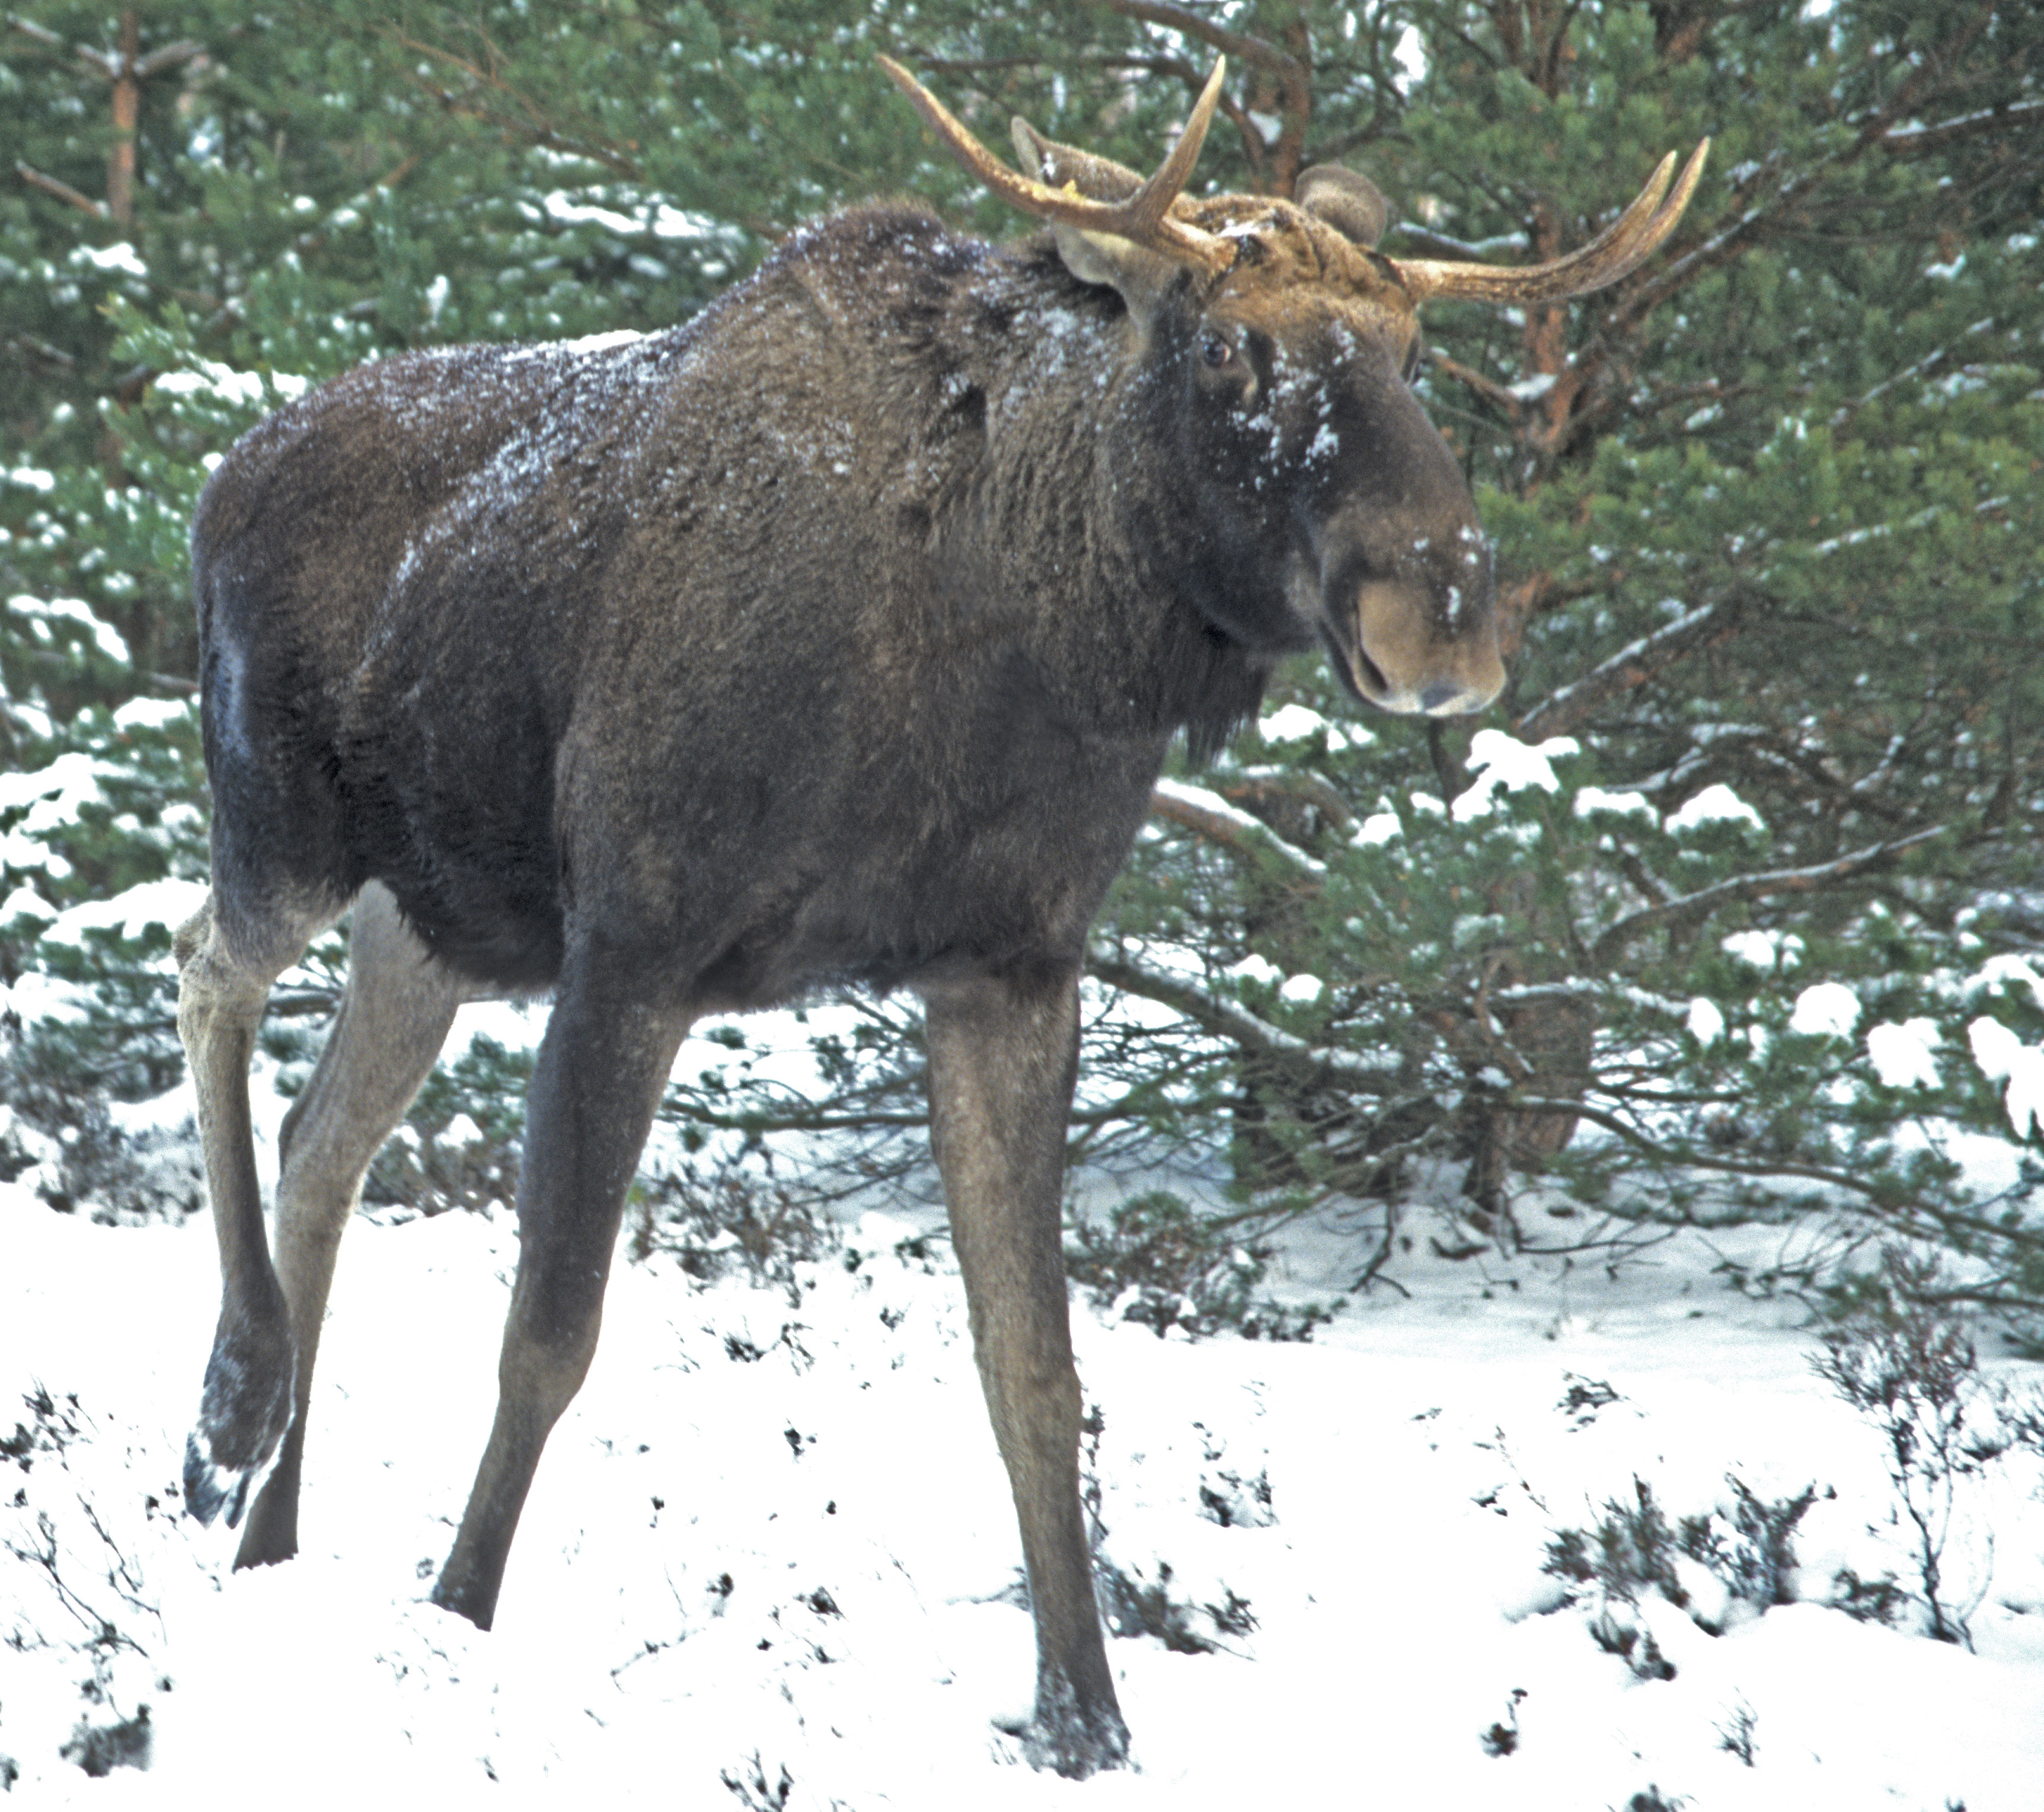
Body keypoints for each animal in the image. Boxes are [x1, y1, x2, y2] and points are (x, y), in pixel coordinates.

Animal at [175, 63, 1700, 1783]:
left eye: (1415, 349)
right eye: (1225, 345)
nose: (1437, 615)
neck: (1017, 636)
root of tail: (216, 484)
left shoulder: (1010, 966)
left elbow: (1033, 1362)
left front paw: (1086, 1712)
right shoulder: (633, 939)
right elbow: (548, 1331)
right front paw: (453, 1619)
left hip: (433, 927)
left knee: (322, 1139)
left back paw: (271, 1523)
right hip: (289, 831)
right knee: (204, 980)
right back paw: (230, 1408)